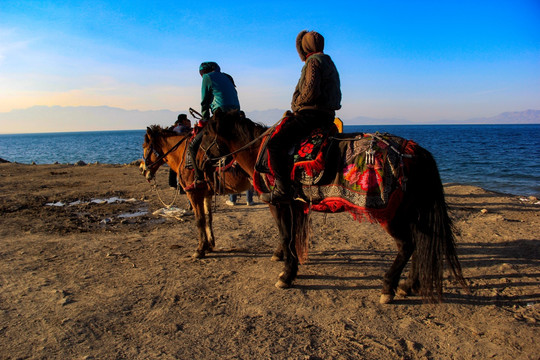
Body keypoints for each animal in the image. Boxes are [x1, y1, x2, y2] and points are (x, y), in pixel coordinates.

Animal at [142, 125, 254, 258]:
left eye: (145, 147)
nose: (143, 170)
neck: (183, 155)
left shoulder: (193, 193)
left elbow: (199, 219)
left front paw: (200, 249)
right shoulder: (206, 194)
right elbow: (208, 217)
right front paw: (209, 245)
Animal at [202, 109, 468, 304]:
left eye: (203, 135)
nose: (200, 164)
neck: (260, 152)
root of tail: (416, 152)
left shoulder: (279, 204)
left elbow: (287, 237)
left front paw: (286, 275)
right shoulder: (295, 206)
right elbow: (291, 238)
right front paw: (290, 267)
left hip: (391, 216)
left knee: (407, 245)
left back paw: (388, 287)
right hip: (412, 213)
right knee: (420, 243)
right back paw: (408, 285)